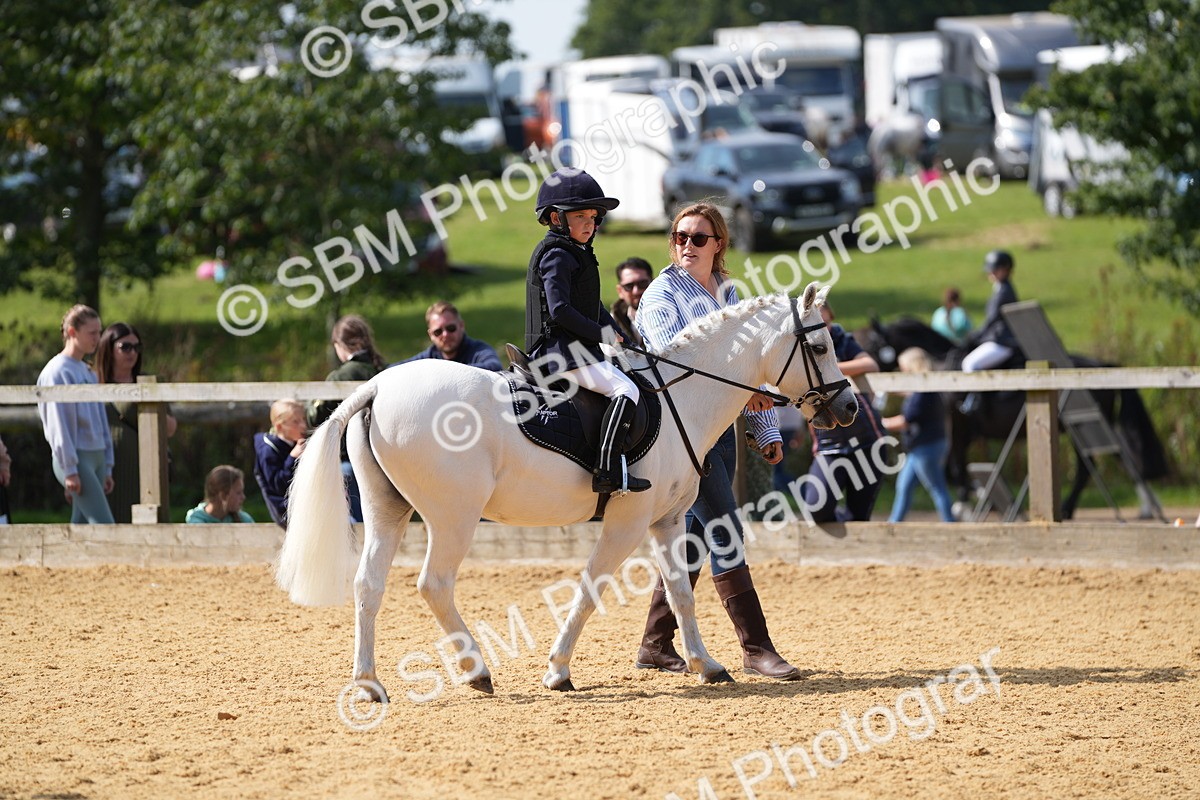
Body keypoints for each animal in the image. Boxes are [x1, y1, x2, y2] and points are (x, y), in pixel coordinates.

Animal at [276, 283, 859, 700]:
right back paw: (477, 672)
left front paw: (707, 664)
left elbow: (681, 592)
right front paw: (557, 671)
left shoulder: (669, 521)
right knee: (433, 584)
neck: (681, 397)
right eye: (820, 345)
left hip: (387, 511)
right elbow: (590, 589)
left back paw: (369, 685)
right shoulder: (627, 522)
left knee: (369, 586)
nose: (849, 406)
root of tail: (379, 386)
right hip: (453, 516)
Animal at [854, 316, 1166, 520]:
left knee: (1089, 468)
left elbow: (955, 469)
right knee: (1124, 458)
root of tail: (1102, 363)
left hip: (1082, 426)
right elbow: (954, 470)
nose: (865, 393)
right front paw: (980, 498)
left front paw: (967, 504)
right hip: (1091, 426)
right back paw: (1147, 508)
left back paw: (1069, 509)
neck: (940, 367)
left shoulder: (959, 428)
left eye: (871, 347)